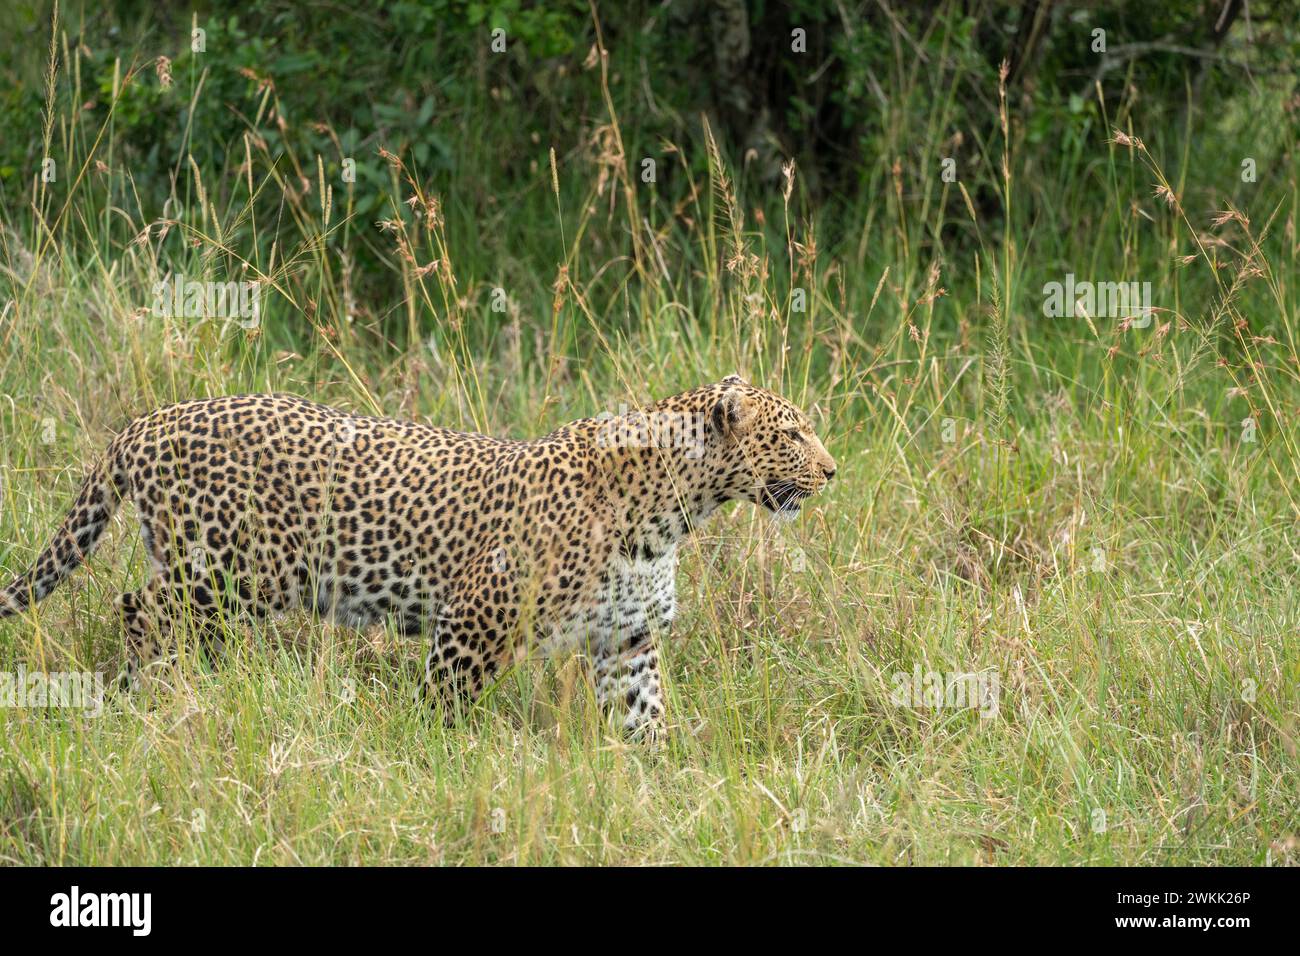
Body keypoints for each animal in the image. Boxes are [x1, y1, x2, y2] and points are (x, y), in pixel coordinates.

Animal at [2, 374, 832, 738]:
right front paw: (433, 757)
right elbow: (444, 698)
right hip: (234, 567)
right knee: (140, 609)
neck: (673, 515)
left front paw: (652, 775)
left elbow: (643, 713)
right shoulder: (477, 614)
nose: (831, 471)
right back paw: (146, 694)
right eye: (790, 434)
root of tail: (142, 423)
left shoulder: (627, 637)